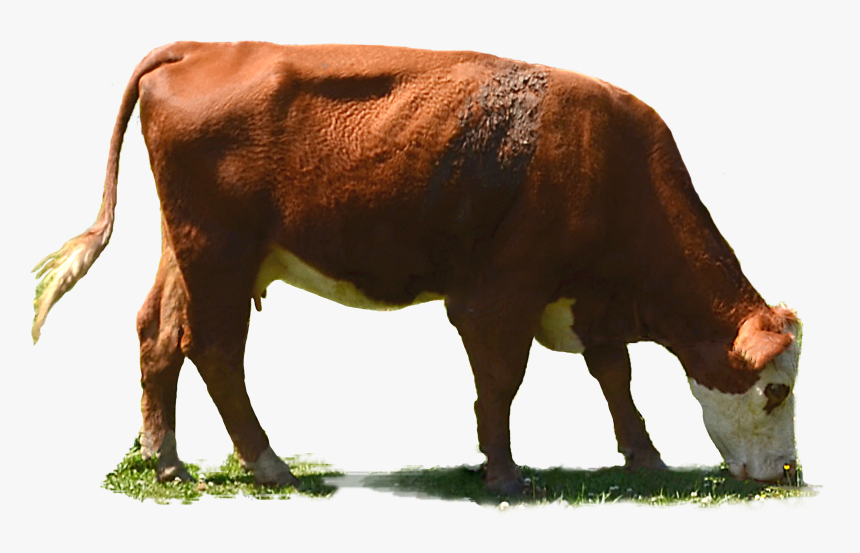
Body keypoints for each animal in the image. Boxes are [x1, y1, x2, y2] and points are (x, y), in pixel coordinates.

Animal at [32, 42, 801, 495]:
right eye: (775, 391)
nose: (788, 473)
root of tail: (205, 46)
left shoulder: (586, 299)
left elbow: (616, 375)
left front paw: (645, 456)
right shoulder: (498, 296)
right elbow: (501, 383)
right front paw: (504, 473)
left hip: (186, 248)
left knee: (158, 336)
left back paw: (167, 460)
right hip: (221, 249)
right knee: (216, 349)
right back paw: (269, 464)